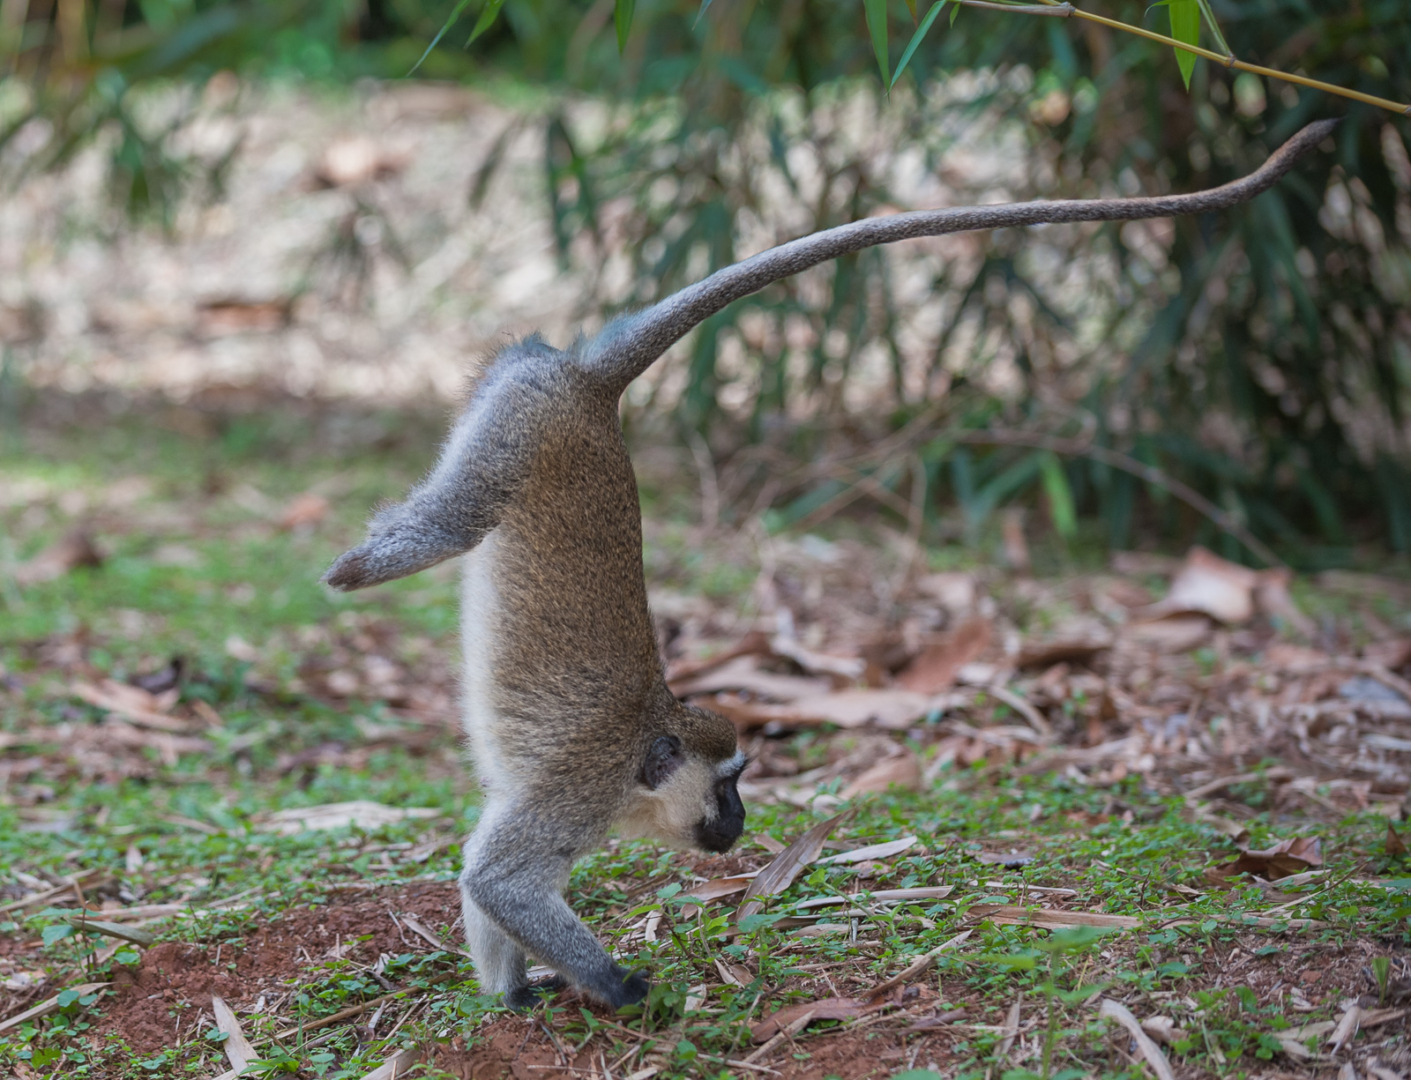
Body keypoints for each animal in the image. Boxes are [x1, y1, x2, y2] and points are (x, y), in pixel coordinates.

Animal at [321, 120, 1333, 1011]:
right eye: (729, 785)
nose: (743, 825)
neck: (642, 767)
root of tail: (593, 389)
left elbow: (480, 875)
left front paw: (515, 993)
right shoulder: (576, 793)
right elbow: (505, 881)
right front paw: (622, 988)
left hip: (510, 403)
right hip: (521, 426)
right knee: (444, 525)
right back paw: (356, 566)